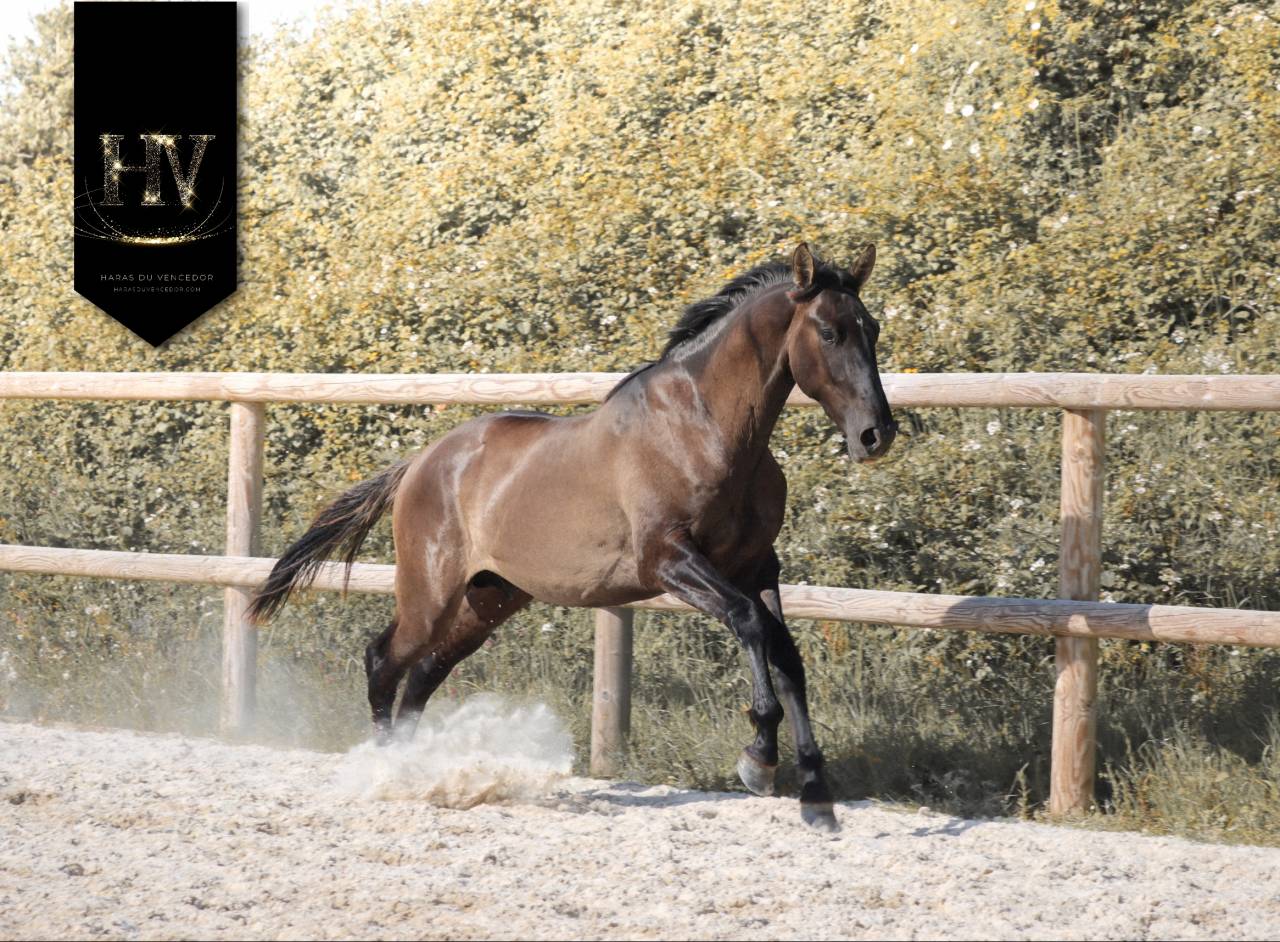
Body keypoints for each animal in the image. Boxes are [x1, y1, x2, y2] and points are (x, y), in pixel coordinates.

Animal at [248, 242, 897, 831]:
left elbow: (787, 657)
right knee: (383, 661)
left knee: (425, 674)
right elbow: (750, 624)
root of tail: (418, 464)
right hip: (430, 594)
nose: (876, 435)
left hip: (490, 598)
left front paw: (816, 799)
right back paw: (390, 773)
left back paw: (423, 771)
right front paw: (757, 759)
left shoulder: (758, 566)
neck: (706, 429)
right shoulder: (670, 561)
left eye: (872, 328)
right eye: (829, 332)